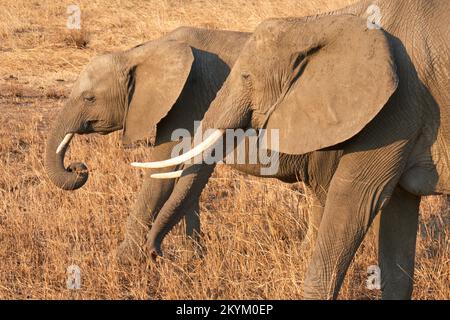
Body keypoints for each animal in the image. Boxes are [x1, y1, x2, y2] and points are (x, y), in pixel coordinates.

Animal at [137, 0, 450, 300]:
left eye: (246, 77)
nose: (156, 253)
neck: (328, 22)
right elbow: (397, 224)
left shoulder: (396, 108)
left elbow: (356, 198)